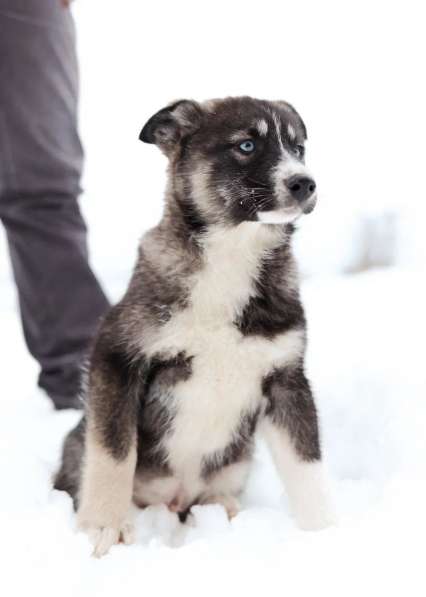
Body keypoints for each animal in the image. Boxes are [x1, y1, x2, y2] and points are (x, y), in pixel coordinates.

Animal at [54, 95, 336, 556]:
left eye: (299, 149)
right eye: (246, 145)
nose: (305, 183)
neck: (232, 253)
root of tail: (175, 500)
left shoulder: (285, 378)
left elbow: (307, 466)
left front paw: (326, 532)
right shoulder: (117, 355)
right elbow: (115, 452)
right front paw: (105, 527)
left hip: (236, 460)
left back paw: (228, 515)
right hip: (80, 440)